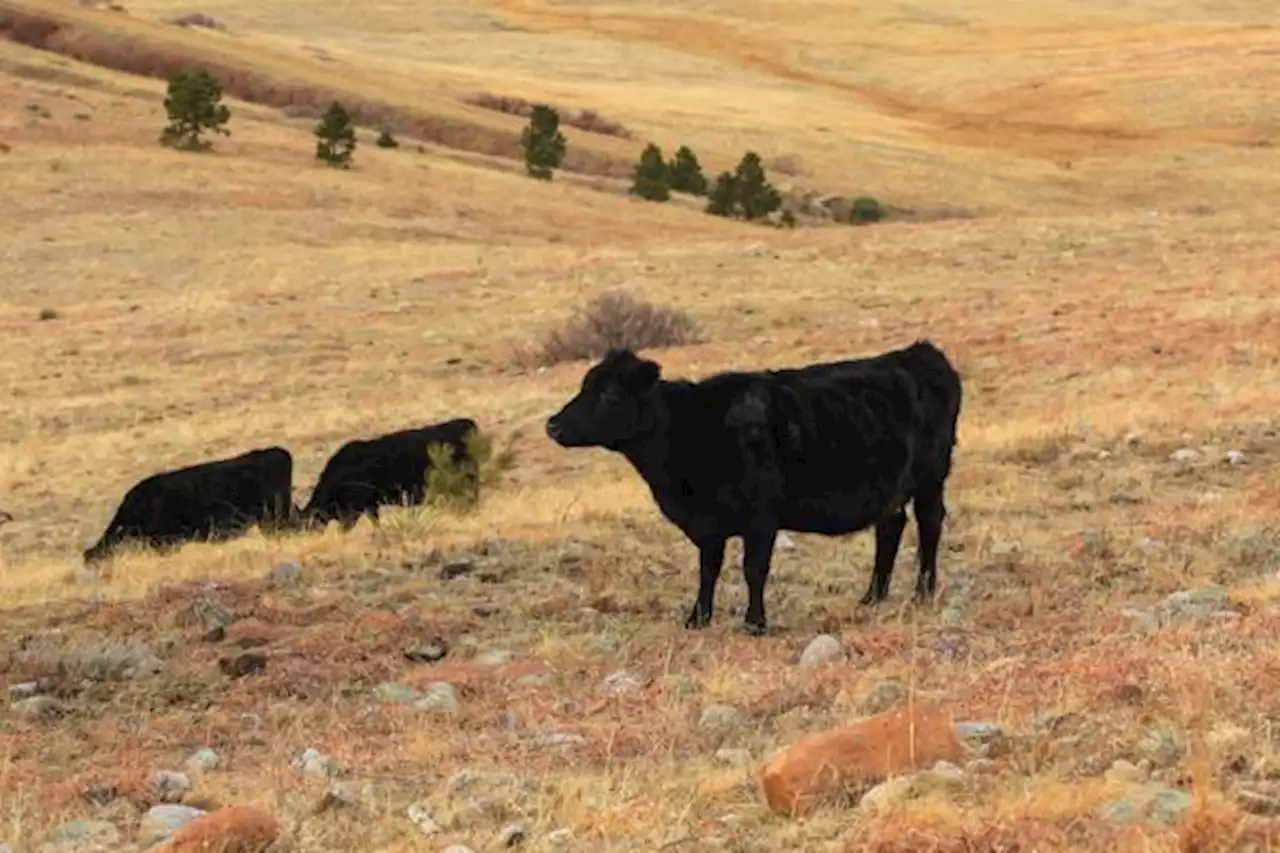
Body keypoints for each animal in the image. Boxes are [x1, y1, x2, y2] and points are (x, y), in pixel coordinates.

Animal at [545, 343, 962, 635]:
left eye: (610, 395)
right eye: (585, 386)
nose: (553, 425)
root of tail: (919, 352)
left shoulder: (761, 520)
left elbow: (753, 570)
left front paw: (755, 622)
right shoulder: (709, 526)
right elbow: (708, 571)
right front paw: (698, 618)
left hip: (931, 478)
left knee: (929, 524)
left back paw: (923, 591)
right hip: (893, 490)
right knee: (890, 528)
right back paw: (873, 596)